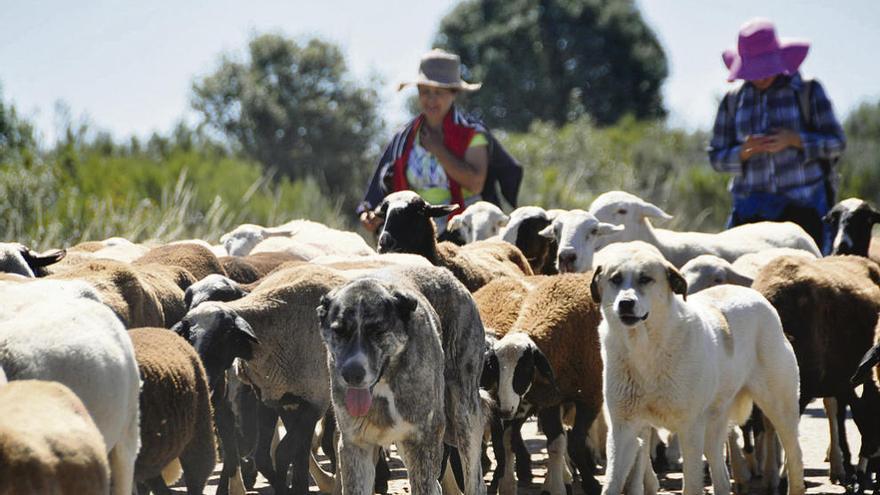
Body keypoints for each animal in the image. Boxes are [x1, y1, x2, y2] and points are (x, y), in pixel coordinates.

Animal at [592, 243, 804, 495]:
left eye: (645, 279)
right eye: (615, 279)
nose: (625, 303)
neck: (646, 348)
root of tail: (754, 294)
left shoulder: (689, 429)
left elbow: (691, 484)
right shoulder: (623, 429)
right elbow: (612, 482)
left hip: (780, 410)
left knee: (794, 455)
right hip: (715, 426)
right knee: (721, 473)